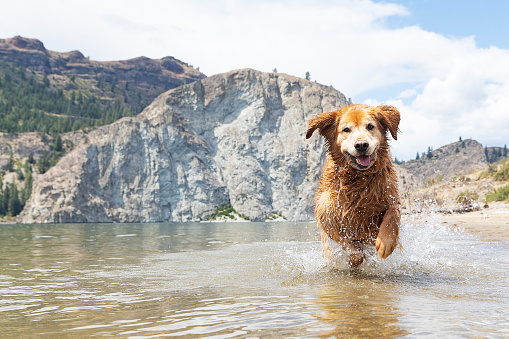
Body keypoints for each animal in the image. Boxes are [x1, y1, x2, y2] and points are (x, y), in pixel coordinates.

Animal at [306, 103, 400, 268]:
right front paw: (350, 259)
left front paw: (386, 243)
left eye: (370, 126)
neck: (358, 179)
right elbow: (353, 251)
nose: (361, 145)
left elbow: (393, 212)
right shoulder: (326, 216)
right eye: (346, 129)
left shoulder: (390, 196)